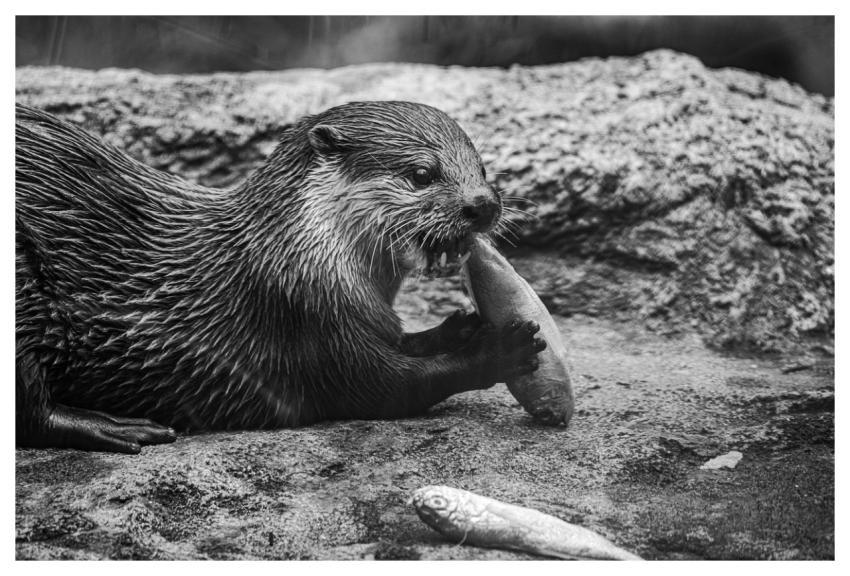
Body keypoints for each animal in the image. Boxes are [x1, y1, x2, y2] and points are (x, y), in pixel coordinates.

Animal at [16, 101, 545, 454]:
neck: (293, 251)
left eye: (482, 168)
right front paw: (502, 348)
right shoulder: (301, 312)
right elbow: (387, 385)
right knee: (31, 409)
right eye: (422, 173)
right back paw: (119, 427)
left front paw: (458, 326)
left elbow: (402, 342)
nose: (483, 204)